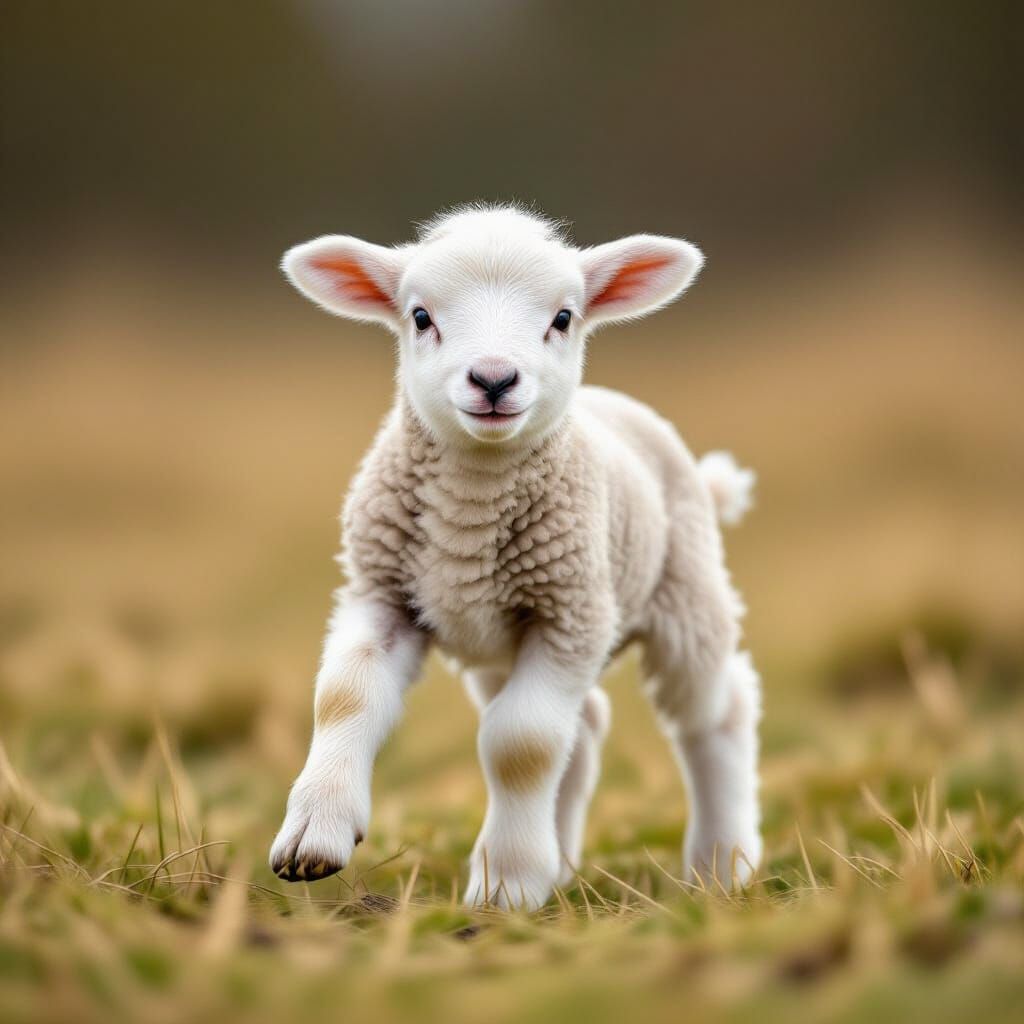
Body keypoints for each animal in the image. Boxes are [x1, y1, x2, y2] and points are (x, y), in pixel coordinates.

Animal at [269, 205, 762, 908]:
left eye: (563, 318)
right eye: (421, 316)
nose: (494, 379)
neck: (472, 501)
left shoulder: (570, 615)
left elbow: (519, 743)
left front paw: (506, 884)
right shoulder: (382, 592)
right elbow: (345, 695)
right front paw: (315, 832)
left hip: (685, 596)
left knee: (717, 713)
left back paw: (721, 865)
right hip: (497, 648)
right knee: (585, 729)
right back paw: (563, 862)